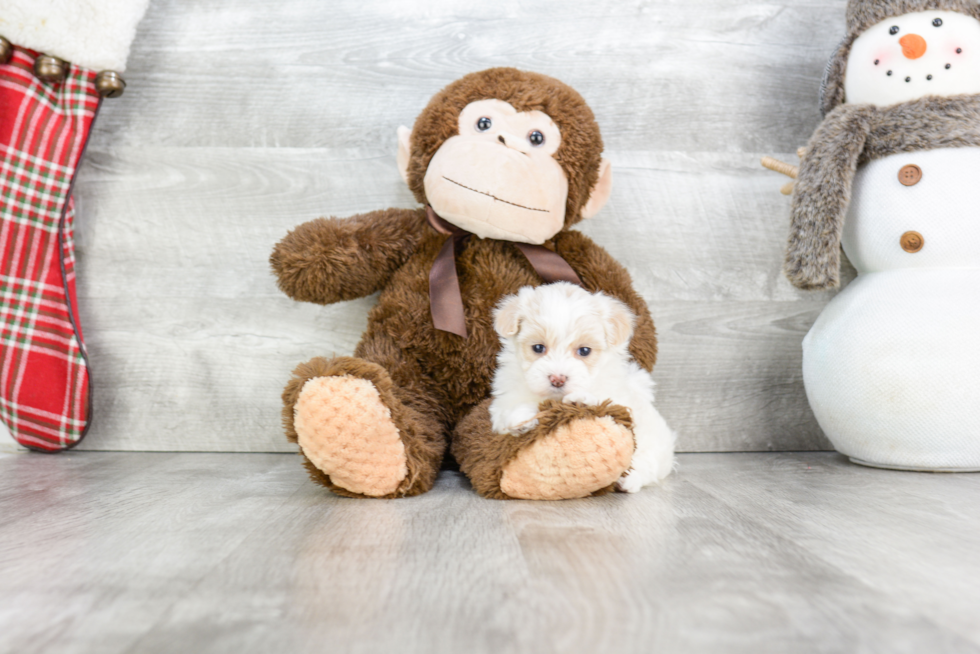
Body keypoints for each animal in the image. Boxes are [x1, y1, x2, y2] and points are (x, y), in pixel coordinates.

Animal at [488, 282, 672, 492]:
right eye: (538, 348)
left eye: (584, 351)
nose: (557, 379)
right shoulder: (504, 399)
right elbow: (509, 411)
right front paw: (522, 419)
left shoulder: (619, 399)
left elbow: (607, 404)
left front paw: (582, 400)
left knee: (648, 464)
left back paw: (629, 480)